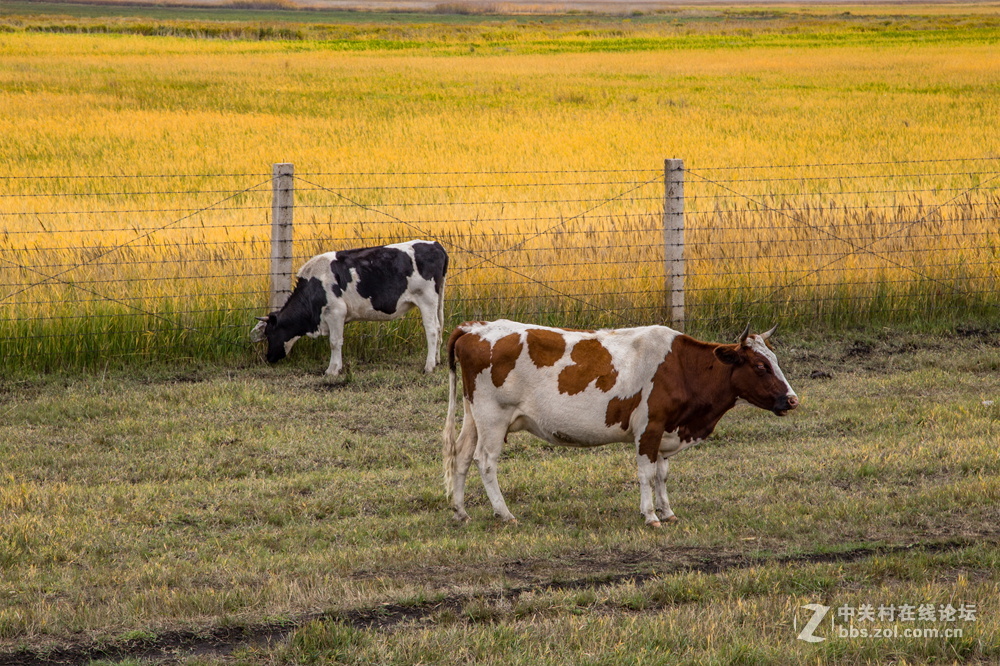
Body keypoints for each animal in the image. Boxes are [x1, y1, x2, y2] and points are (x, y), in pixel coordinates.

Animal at [254, 240, 450, 376]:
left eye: (269, 333)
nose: (268, 357)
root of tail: (435, 244)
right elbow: (338, 341)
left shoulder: (335, 312)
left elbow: (334, 342)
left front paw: (332, 370)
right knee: (439, 328)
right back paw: (437, 360)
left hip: (426, 300)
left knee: (432, 331)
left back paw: (429, 366)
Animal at [442, 320, 800, 528]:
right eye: (759, 366)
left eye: (775, 361)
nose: (793, 400)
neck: (682, 367)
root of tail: (473, 327)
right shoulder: (649, 428)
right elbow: (646, 474)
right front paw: (651, 515)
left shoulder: (666, 431)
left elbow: (662, 474)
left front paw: (667, 511)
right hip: (493, 416)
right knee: (485, 462)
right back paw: (504, 513)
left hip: (474, 415)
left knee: (461, 456)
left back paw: (460, 511)